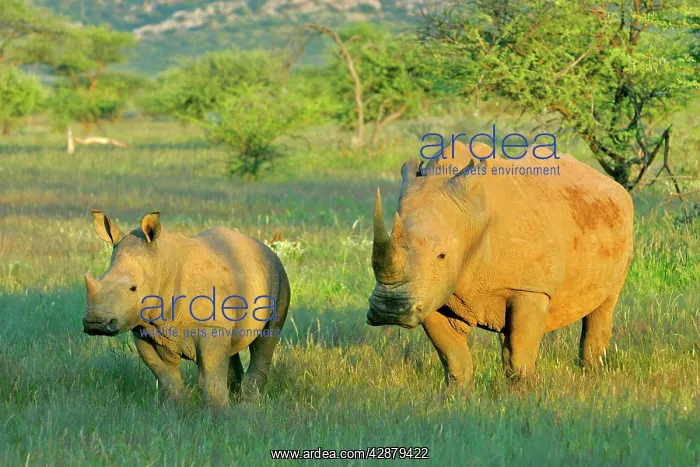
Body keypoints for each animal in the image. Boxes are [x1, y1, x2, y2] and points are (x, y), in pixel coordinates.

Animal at [83, 211, 290, 407]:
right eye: (100, 279)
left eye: (133, 288)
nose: (95, 322)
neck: (161, 265)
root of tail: (267, 249)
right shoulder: (144, 328)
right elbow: (166, 378)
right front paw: (171, 410)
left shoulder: (210, 327)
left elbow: (210, 378)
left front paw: (218, 414)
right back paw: (237, 399)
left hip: (279, 275)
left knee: (265, 340)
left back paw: (247, 406)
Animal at [366, 141, 633, 390]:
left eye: (442, 255)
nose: (390, 309)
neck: (472, 217)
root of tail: (611, 184)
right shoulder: (432, 289)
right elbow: (453, 356)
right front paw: (455, 395)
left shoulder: (530, 288)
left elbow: (519, 352)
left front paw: (527, 396)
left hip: (621, 222)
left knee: (604, 305)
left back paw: (592, 377)